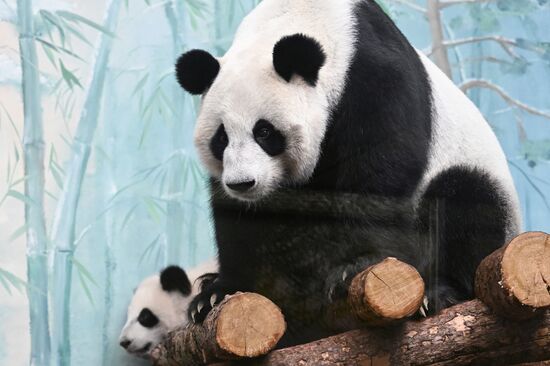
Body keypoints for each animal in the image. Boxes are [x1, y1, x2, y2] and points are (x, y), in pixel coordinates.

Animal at [174, 0, 520, 346]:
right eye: (221, 138)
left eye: (264, 132)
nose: (243, 183)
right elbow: (238, 221)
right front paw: (217, 292)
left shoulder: (374, 77)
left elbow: (381, 171)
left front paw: (354, 267)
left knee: (465, 200)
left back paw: (437, 293)